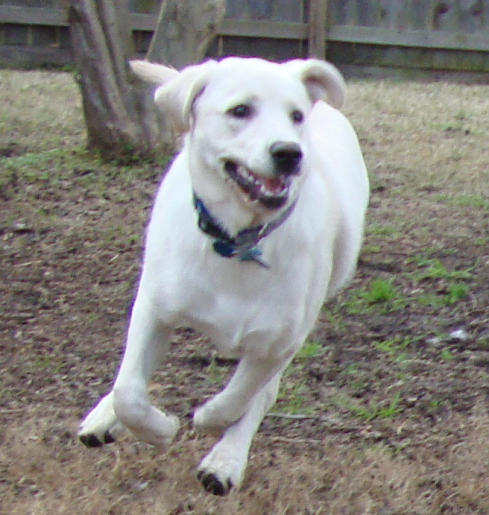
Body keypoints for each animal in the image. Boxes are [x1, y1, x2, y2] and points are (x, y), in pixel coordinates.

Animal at [79, 56, 370, 496]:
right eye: (240, 110)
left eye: (296, 115)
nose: (290, 152)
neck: (237, 241)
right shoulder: (153, 309)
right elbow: (129, 393)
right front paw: (160, 429)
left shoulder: (280, 343)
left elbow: (241, 397)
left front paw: (207, 422)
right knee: (125, 381)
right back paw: (102, 417)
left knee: (260, 395)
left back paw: (224, 461)